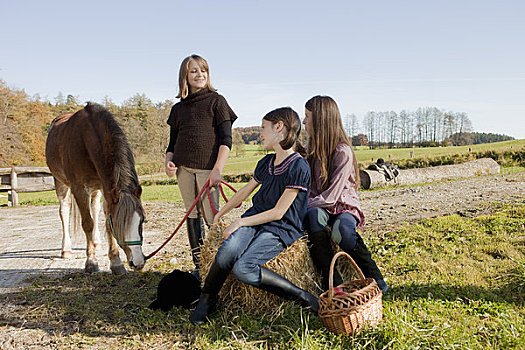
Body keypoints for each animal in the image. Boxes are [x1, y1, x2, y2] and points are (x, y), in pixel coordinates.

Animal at [45, 102, 145, 274]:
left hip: (96, 189)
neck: (86, 139)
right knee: (64, 211)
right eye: (120, 224)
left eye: (142, 220)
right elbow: (87, 224)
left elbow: (106, 224)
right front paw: (91, 262)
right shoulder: (79, 189)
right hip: (60, 183)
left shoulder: (107, 188)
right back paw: (66, 249)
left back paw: (96, 241)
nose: (138, 263)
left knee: (95, 209)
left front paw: (116, 262)